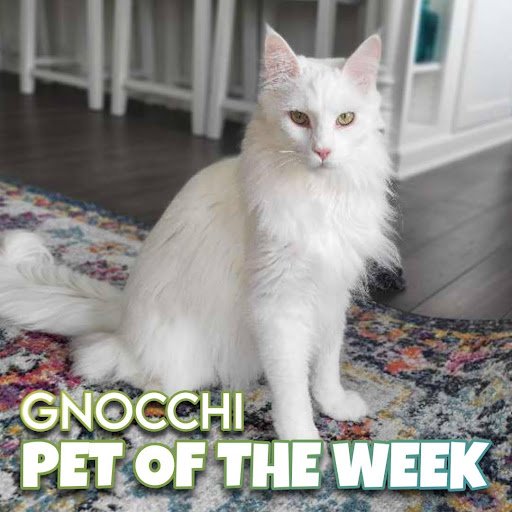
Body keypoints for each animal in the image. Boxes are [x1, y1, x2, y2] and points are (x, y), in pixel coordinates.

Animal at [0, 28, 398, 441]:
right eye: (299, 118)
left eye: (345, 119)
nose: (323, 151)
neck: (320, 197)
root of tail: (122, 312)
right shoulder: (279, 306)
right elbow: (292, 389)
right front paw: (301, 442)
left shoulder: (333, 294)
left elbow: (325, 366)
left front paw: (334, 406)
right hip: (181, 362)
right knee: (112, 363)